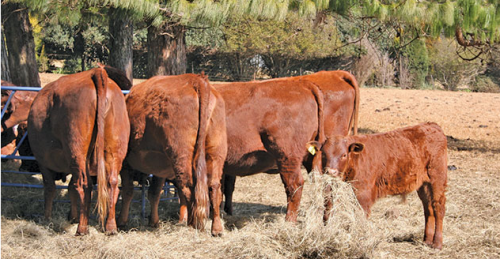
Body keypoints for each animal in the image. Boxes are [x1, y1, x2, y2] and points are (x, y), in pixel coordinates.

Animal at [27, 68, 130, 236]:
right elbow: (70, 188)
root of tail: (95, 72)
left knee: (84, 185)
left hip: (77, 151)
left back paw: (82, 228)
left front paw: (47, 218)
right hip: (115, 150)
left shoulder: (43, 162)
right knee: (112, 184)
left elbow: (50, 188)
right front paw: (72, 216)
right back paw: (111, 227)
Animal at [117, 73, 227, 238]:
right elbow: (154, 193)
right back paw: (216, 229)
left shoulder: (126, 165)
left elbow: (128, 191)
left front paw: (122, 221)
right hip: (215, 153)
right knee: (214, 188)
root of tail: (195, 79)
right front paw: (154, 222)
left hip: (180, 156)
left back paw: (193, 225)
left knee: (189, 189)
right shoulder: (159, 169)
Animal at [308, 123, 450, 251]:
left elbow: (361, 217)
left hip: (437, 179)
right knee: (428, 208)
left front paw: (360, 240)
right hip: (423, 185)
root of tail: (432, 126)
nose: (331, 172)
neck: (356, 159)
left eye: (343, 155)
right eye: (324, 154)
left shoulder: (364, 195)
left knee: (438, 207)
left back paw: (437, 244)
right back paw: (427, 241)